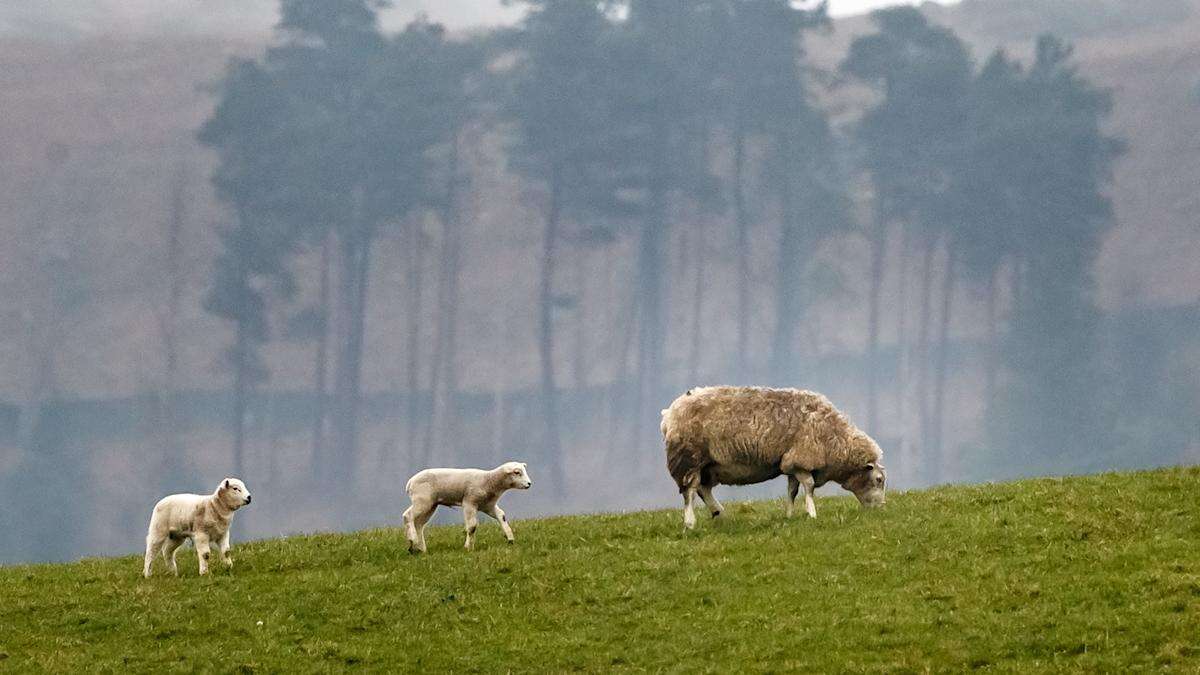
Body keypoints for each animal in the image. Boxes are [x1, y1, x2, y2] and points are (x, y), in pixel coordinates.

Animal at [662, 386, 888, 528]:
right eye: (878, 480)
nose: (881, 509)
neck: (834, 438)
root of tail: (670, 413)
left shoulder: (790, 463)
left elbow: (792, 491)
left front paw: (789, 514)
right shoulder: (801, 459)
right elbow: (809, 487)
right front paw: (812, 513)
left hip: (708, 465)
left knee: (703, 489)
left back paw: (719, 513)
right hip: (688, 458)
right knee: (690, 492)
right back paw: (690, 522)